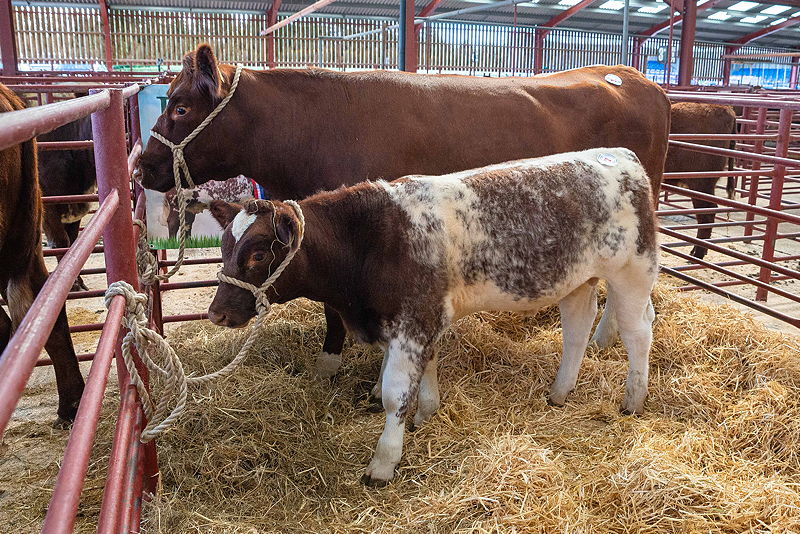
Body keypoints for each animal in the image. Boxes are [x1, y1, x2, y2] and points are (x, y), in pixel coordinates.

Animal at [139, 45, 676, 376]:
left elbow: (335, 308)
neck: (311, 126)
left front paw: (331, 365)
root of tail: (635, 77)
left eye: (181, 107)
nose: (142, 166)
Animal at [209, 146, 660, 486]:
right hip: (576, 280)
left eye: (258, 253)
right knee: (578, 329)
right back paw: (560, 392)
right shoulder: (418, 322)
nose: (216, 313)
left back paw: (633, 400)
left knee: (638, 332)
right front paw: (427, 411)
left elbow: (394, 394)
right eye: (224, 246)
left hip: (633, 272)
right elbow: (425, 369)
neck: (370, 241)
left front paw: (384, 462)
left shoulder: (413, 321)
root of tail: (621, 156)